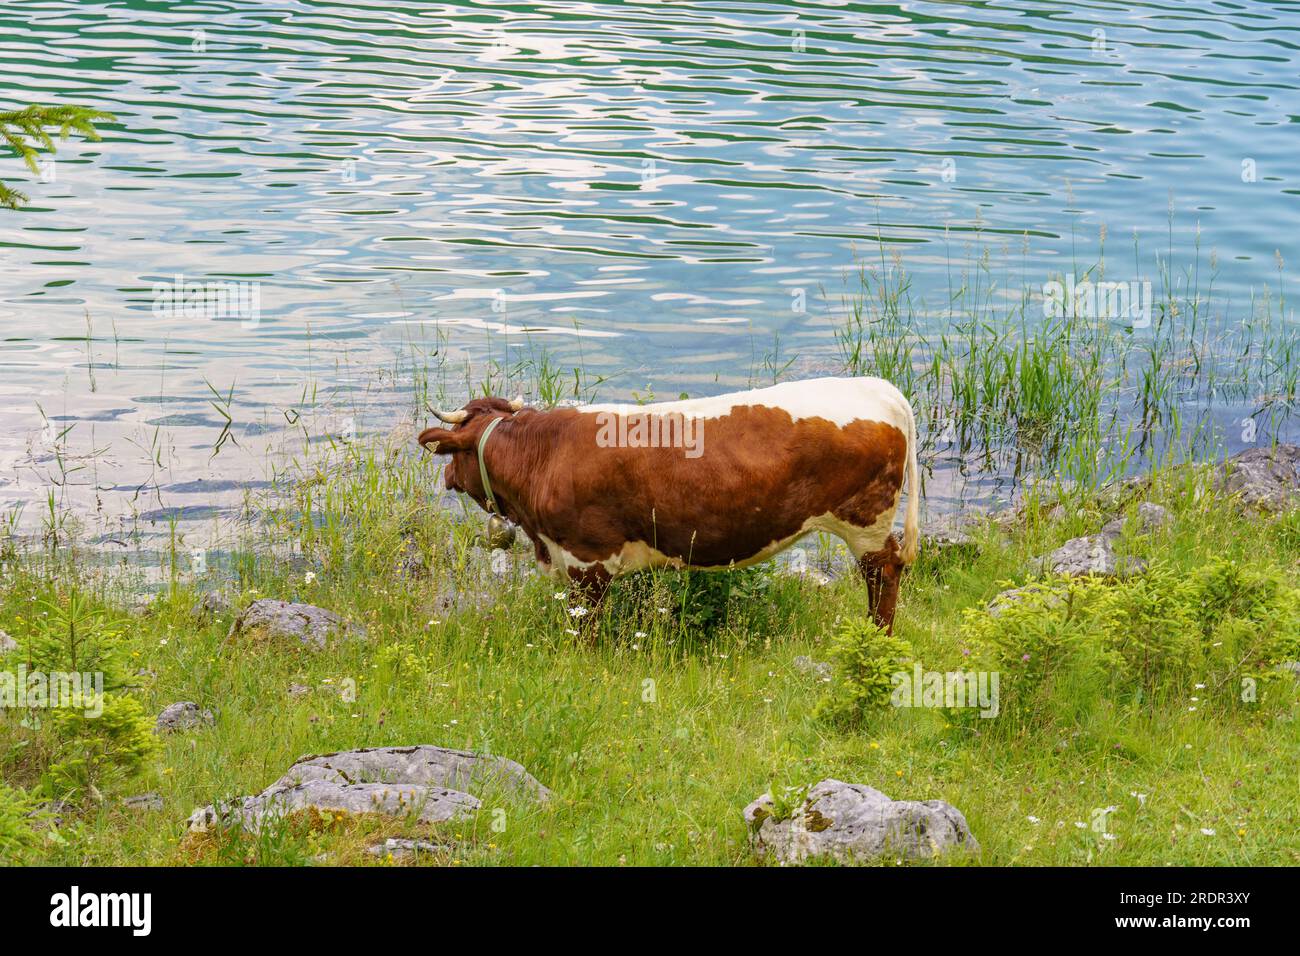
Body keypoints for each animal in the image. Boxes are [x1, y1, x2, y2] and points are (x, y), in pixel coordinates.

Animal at [421, 374, 920, 634]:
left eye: (454, 454)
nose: (446, 478)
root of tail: (881, 388)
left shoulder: (587, 558)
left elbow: (585, 625)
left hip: (866, 521)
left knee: (883, 570)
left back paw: (878, 633)